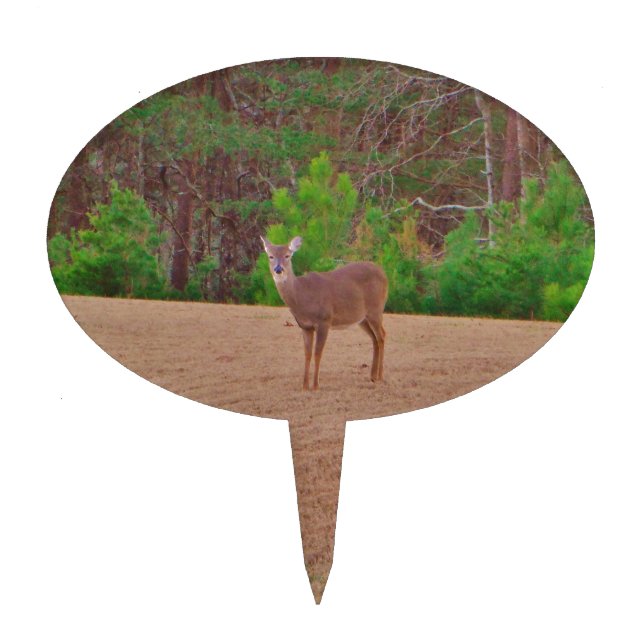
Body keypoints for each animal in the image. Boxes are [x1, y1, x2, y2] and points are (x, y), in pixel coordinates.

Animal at [260, 235, 388, 390]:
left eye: (287, 255)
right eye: (271, 256)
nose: (278, 269)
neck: (303, 296)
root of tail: (383, 273)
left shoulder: (324, 320)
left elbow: (317, 353)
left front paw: (315, 385)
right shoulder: (305, 326)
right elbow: (307, 354)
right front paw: (305, 386)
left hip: (376, 309)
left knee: (382, 336)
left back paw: (380, 376)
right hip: (362, 318)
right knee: (375, 338)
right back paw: (373, 376)